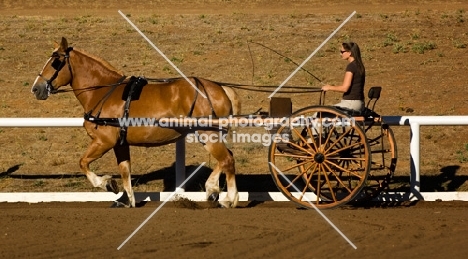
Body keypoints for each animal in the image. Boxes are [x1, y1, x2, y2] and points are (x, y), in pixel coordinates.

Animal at [32, 37, 241, 209]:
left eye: (55, 62)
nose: (36, 88)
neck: (103, 92)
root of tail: (221, 88)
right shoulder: (120, 144)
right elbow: (125, 170)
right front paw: (126, 199)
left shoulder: (104, 142)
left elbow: (83, 162)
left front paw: (106, 183)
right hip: (208, 136)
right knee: (225, 159)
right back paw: (212, 189)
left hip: (208, 134)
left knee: (227, 160)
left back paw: (229, 198)